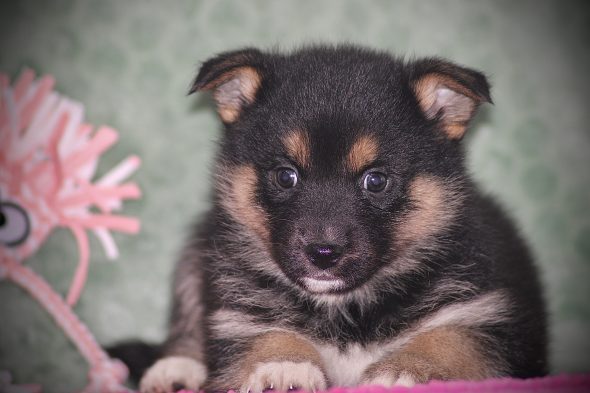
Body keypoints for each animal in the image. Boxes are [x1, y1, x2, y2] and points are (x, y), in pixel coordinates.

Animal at [140, 46, 552, 392]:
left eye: (376, 180)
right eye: (285, 176)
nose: (323, 253)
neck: (348, 308)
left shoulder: (486, 317)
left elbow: (452, 341)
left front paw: (403, 370)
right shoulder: (239, 313)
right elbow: (266, 333)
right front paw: (282, 365)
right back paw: (175, 369)